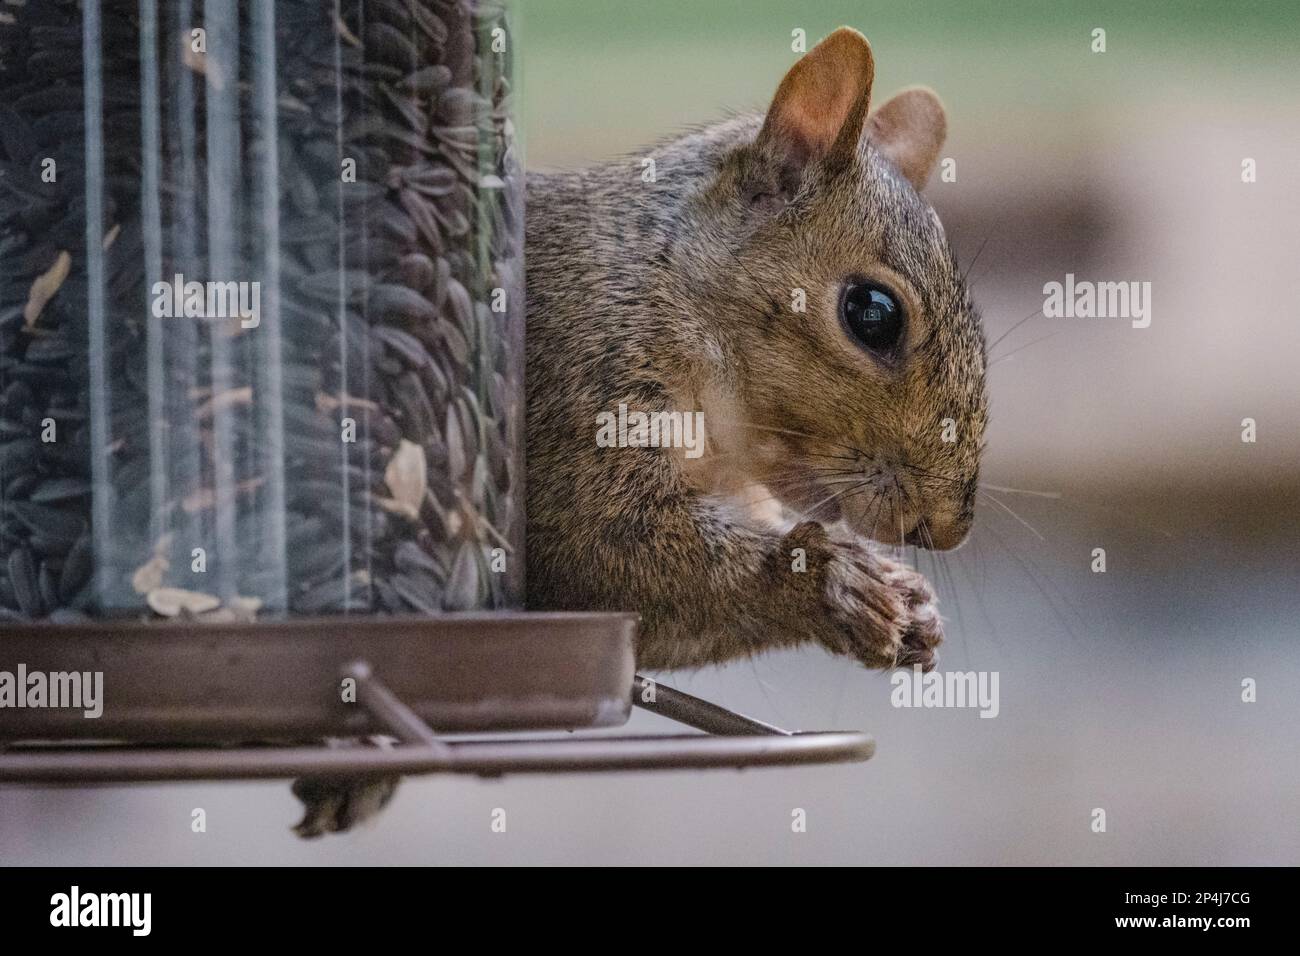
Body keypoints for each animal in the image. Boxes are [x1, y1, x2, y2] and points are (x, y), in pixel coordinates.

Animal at [525, 27, 988, 672]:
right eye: (872, 314)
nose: (946, 530)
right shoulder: (584, 390)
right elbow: (604, 550)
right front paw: (839, 583)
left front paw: (909, 603)